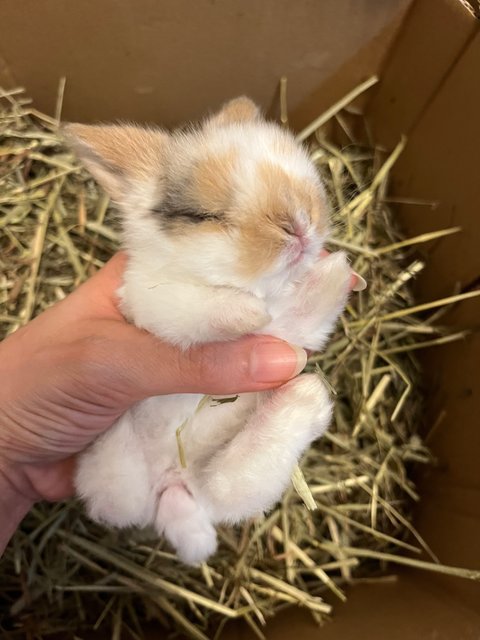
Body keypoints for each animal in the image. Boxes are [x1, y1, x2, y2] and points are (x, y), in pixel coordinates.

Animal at [65, 97, 362, 564]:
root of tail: (171, 483)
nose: (299, 224)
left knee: (225, 487)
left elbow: (300, 319)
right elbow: (203, 308)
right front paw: (251, 314)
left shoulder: (299, 332)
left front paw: (337, 273)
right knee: (127, 503)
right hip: (111, 466)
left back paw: (302, 398)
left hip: (209, 484)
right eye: (203, 216)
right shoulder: (147, 299)